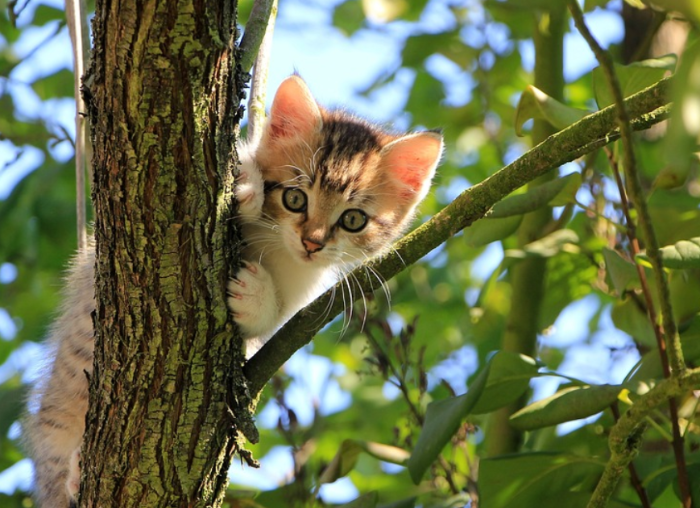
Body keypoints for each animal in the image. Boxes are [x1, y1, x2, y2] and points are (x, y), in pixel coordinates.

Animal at [26, 76, 442, 508]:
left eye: (353, 220)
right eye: (295, 197)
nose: (312, 243)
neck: (275, 247)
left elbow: (272, 320)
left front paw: (255, 295)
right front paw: (246, 183)